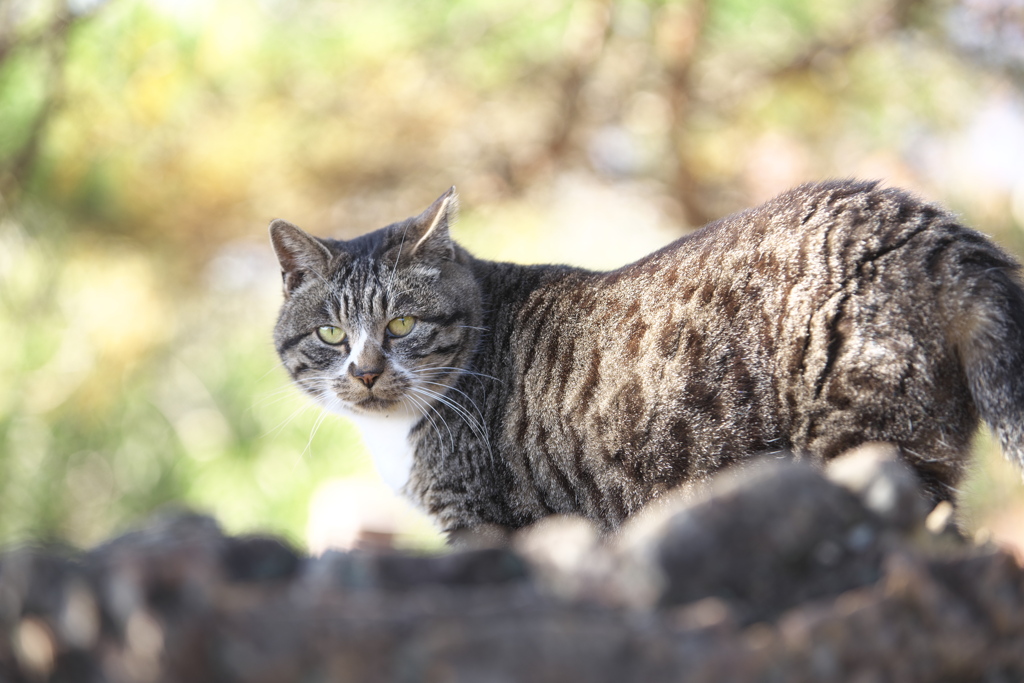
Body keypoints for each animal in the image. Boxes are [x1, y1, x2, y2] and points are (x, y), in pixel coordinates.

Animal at [270, 181, 1024, 540]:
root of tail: (928, 224)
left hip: (858, 439)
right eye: (331, 335)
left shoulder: (481, 521)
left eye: (401, 323)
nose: (366, 371)